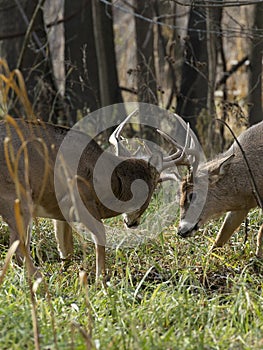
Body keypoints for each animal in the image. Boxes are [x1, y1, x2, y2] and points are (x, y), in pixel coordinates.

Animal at [2, 113, 179, 280]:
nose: (133, 222)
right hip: (17, 199)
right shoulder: (79, 198)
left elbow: (66, 249)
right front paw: (100, 279)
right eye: (152, 187)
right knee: (18, 251)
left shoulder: (58, 211)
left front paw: (65, 275)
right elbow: (100, 235)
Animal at [160, 121, 263, 258]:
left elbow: (260, 233)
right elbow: (222, 234)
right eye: (178, 197)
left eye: (192, 195)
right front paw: (208, 258)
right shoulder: (242, 206)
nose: (180, 231)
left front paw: (257, 259)